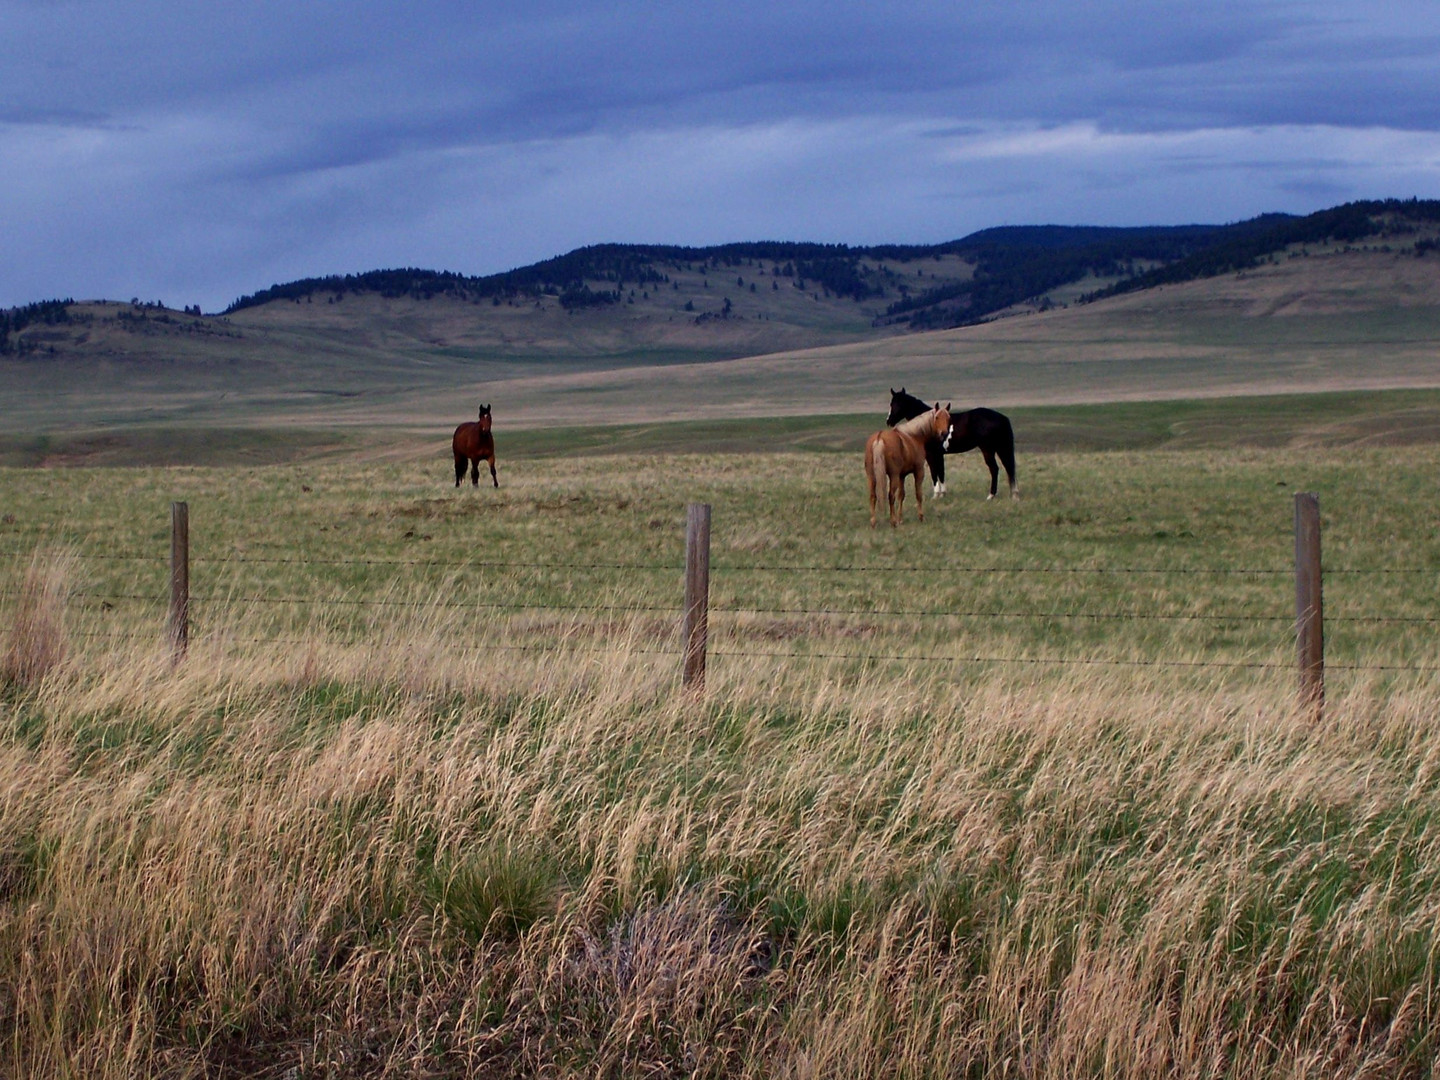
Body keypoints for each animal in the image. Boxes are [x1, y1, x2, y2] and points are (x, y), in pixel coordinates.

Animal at [881, 388, 1019, 504]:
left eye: (895, 404)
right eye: (891, 403)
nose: (888, 421)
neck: (928, 424)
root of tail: (1002, 417)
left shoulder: (931, 455)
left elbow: (934, 473)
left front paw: (936, 495)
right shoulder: (939, 454)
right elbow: (941, 472)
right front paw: (943, 494)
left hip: (988, 449)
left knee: (994, 469)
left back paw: (991, 495)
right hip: (1000, 448)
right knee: (1009, 468)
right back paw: (1013, 494)